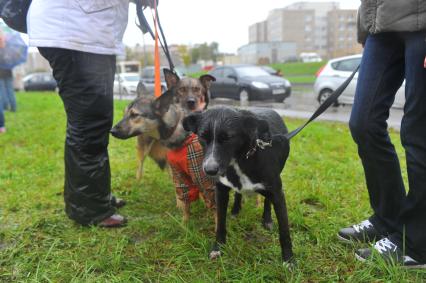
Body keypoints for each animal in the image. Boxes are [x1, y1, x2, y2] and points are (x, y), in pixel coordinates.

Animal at [183, 106, 292, 264]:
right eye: (203, 137)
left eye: (228, 138)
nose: (210, 170)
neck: (240, 160)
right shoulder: (220, 192)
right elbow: (220, 223)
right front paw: (218, 248)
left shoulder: (277, 193)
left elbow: (284, 231)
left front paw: (289, 260)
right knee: (238, 192)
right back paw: (235, 209)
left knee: (267, 200)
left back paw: (267, 219)